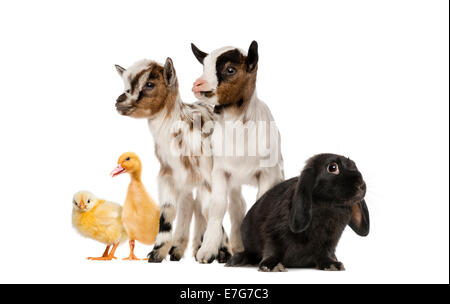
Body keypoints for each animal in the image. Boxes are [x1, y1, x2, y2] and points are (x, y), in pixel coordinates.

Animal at [227, 153, 370, 272]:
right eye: (332, 167)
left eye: (355, 166)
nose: (362, 185)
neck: (329, 207)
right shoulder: (273, 233)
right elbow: (272, 249)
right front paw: (272, 266)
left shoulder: (329, 241)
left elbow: (325, 253)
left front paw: (332, 264)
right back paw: (235, 260)